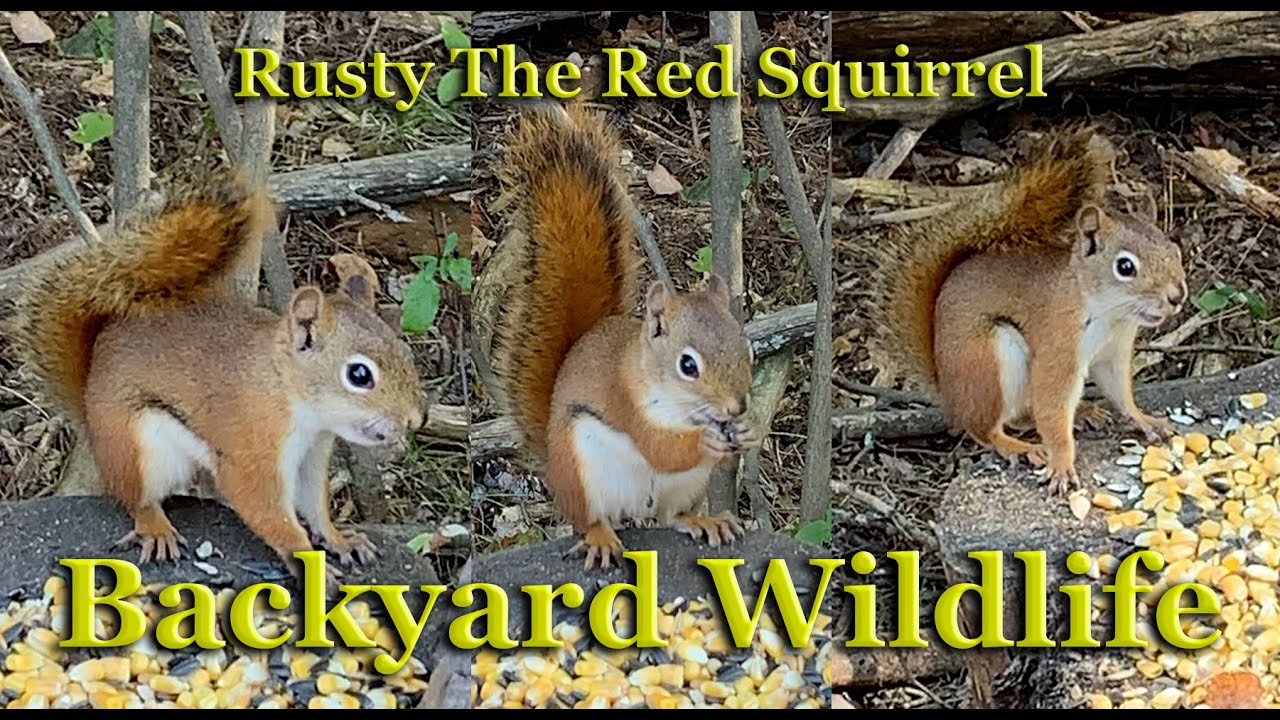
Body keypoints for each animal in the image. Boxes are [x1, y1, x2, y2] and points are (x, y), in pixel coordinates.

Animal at [12, 173, 425, 586]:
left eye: (406, 353)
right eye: (359, 375)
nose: (415, 419)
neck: (288, 391)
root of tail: (89, 405)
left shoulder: (312, 453)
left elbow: (314, 505)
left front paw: (341, 540)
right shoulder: (252, 448)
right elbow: (264, 508)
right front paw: (311, 564)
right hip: (138, 447)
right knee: (135, 497)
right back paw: (155, 527)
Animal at [488, 104, 759, 570]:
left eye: (748, 350)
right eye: (688, 365)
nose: (736, 407)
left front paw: (749, 431)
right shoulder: (625, 400)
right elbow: (661, 449)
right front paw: (705, 440)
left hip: (686, 487)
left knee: (672, 516)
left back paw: (704, 521)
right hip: (581, 468)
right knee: (590, 518)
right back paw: (600, 536)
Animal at [878, 127, 1187, 496]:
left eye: (1174, 249)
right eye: (1125, 267)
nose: (1177, 296)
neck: (1110, 316)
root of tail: (948, 393)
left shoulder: (1113, 353)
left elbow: (1119, 392)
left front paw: (1144, 420)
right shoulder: (1059, 344)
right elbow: (1051, 404)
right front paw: (1062, 464)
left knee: (1023, 414)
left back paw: (1083, 413)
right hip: (990, 361)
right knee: (986, 428)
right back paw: (1018, 446)